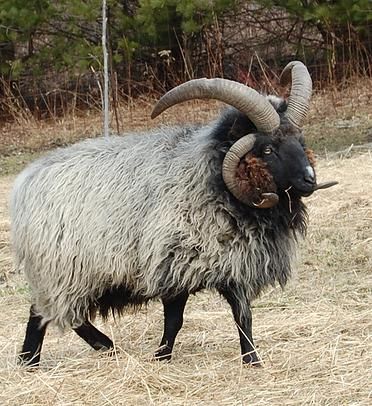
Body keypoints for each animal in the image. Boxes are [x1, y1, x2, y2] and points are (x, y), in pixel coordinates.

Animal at [12, 61, 338, 368]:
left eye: (300, 141)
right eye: (268, 149)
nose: (310, 179)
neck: (212, 176)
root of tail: (25, 182)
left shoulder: (223, 262)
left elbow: (227, 317)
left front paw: (172, 356)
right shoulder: (179, 261)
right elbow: (193, 319)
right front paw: (245, 360)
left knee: (42, 312)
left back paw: (31, 361)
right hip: (65, 271)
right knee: (57, 314)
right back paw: (103, 346)